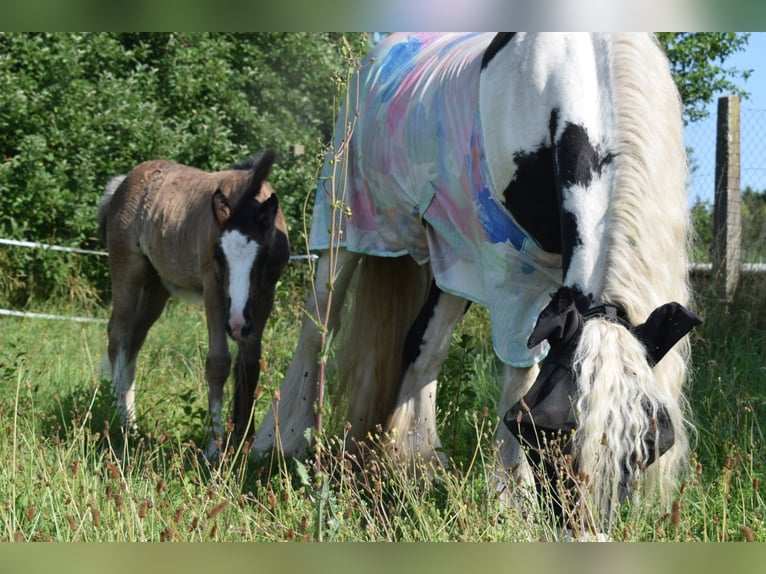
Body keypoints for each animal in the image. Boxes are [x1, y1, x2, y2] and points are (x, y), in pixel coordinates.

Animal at [99, 151, 292, 456]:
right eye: (218, 254)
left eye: (262, 255)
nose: (236, 324)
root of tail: (122, 183)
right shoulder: (213, 288)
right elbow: (218, 363)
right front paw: (214, 447)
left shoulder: (265, 294)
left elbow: (250, 363)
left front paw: (244, 443)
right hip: (128, 273)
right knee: (118, 337)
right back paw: (120, 423)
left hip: (156, 288)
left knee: (134, 342)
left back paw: (132, 424)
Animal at [256, 32, 704, 528]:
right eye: (538, 429)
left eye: (654, 442)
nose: (584, 531)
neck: (585, 74)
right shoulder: (511, 269)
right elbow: (520, 372)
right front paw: (512, 497)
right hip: (346, 226)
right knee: (319, 325)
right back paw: (281, 440)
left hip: (452, 256)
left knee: (423, 346)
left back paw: (410, 462)